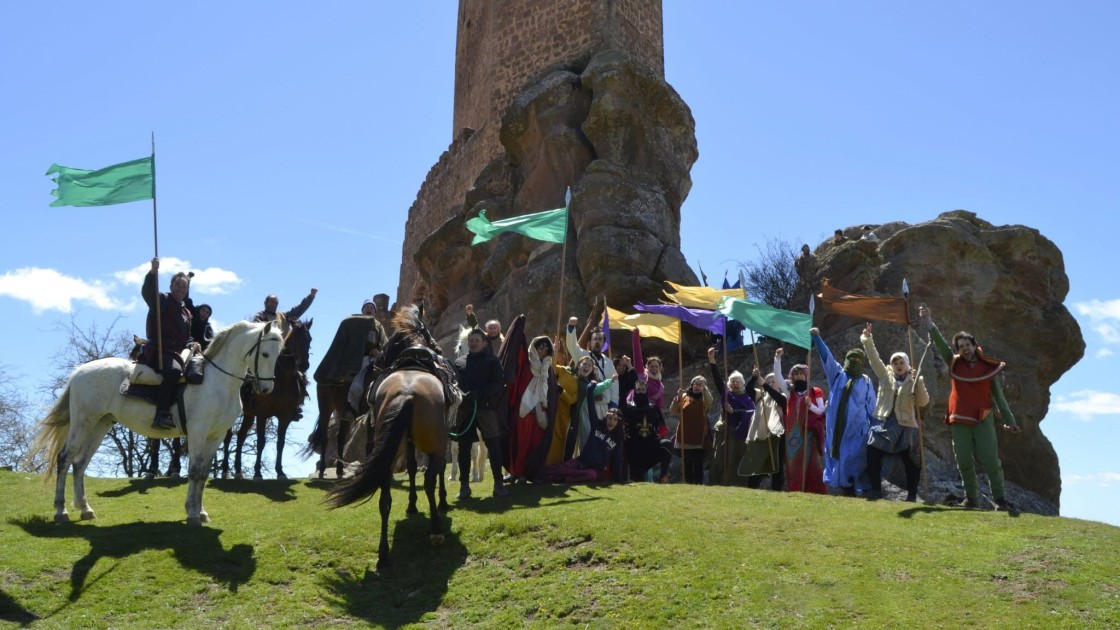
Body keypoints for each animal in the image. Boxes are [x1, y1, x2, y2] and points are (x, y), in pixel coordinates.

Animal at [33, 320, 284, 522]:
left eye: (278, 354)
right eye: (265, 354)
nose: (266, 388)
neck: (217, 382)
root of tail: (79, 372)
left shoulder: (216, 436)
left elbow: (203, 473)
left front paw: (201, 512)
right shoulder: (198, 431)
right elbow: (194, 471)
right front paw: (192, 514)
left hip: (100, 425)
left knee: (80, 463)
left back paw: (85, 509)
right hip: (83, 423)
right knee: (64, 459)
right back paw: (61, 511)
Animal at [218, 316, 311, 477]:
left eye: (309, 339)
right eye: (297, 337)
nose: (305, 365)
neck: (282, 381)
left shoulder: (285, 417)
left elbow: (280, 443)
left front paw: (280, 471)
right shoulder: (262, 415)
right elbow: (261, 442)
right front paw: (257, 472)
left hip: (248, 415)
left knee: (241, 436)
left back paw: (238, 470)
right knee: (228, 436)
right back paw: (225, 469)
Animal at [324, 304, 450, 569]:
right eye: (428, 331)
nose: (438, 349)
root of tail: (408, 394)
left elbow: (410, 467)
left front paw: (411, 505)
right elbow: (432, 472)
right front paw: (439, 504)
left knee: (385, 498)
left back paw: (383, 554)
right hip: (435, 444)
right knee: (430, 479)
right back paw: (435, 530)